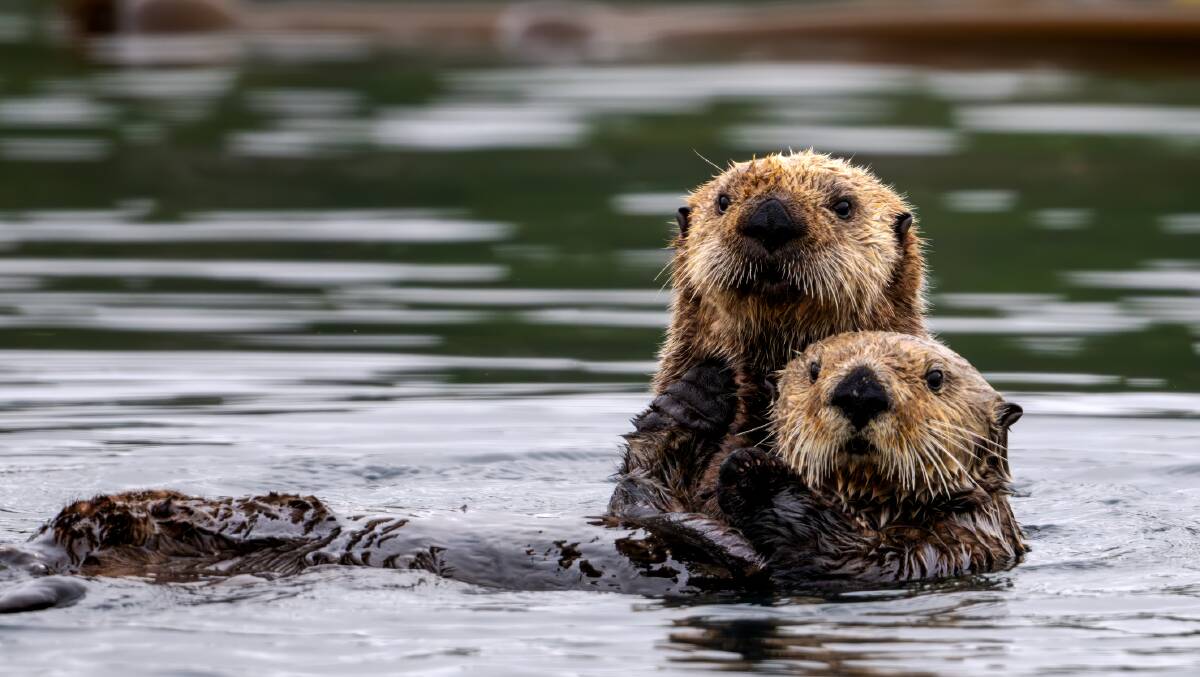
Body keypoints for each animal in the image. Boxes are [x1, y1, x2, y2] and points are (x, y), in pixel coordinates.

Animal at [716, 331, 1026, 587]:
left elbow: (863, 560)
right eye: (814, 370)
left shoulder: (961, 543)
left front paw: (754, 474)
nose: (860, 391)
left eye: (936, 377)